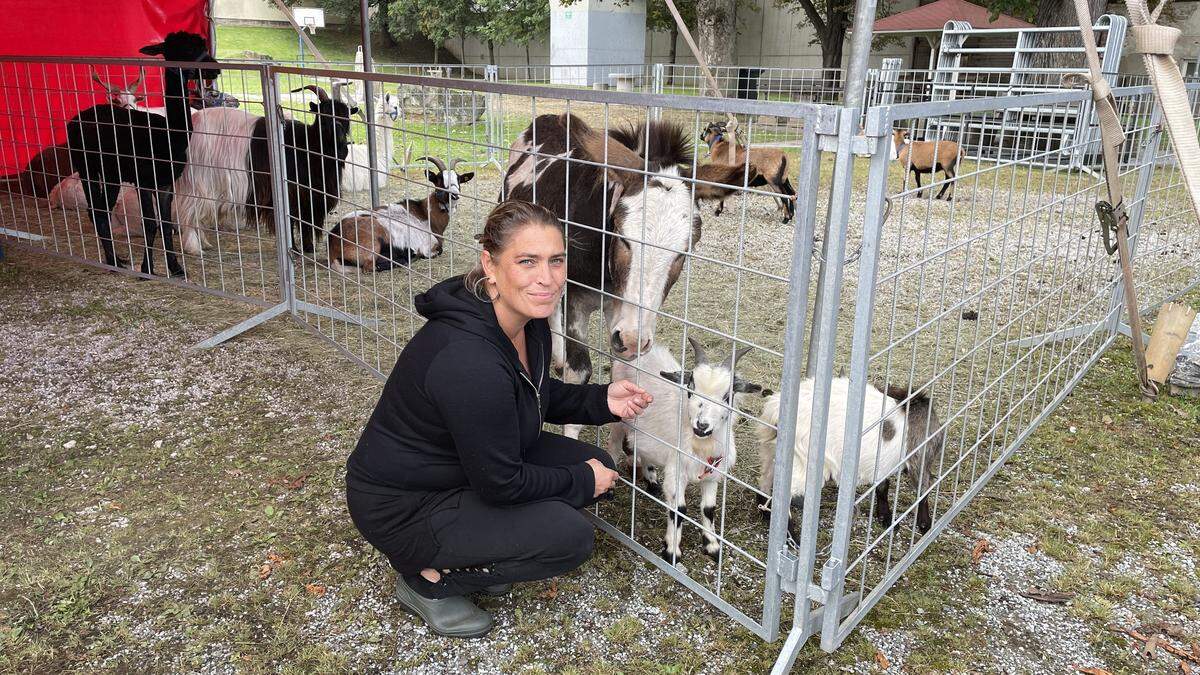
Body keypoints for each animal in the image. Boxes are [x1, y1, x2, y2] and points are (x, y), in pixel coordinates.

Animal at [246, 84, 352, 252]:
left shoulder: (312, 196)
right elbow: (293, 219)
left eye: (346, 117)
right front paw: (295, 248)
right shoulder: (292, 192)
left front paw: (308, 246)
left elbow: (307, 220)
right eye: (323, 114)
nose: (339, 136)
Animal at [333, 154, 477, 270]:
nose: (455, 195)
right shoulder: (428, 245)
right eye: (439, 179)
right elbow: (437, 251)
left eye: (458, 179)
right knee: (370, 267)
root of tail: (333, 242)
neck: (425, 214)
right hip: (372, 244)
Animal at [609, 336, 758, 562]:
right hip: (619, 420)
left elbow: (709, 509)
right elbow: (678, 510)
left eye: (727, 396)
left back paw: (651, 479)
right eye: (690, 388)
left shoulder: (712, 475)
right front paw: (671, 550)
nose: (702, 425)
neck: (699, 445)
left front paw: (712, 545)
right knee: (613, 447)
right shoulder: (676, 472)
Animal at [753, 374, 940, 538]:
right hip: (804, 463)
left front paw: (885, 517)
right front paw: (925, 525)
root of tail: (774, 412)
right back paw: (791, 536)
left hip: (770, 451)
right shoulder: (918, 457)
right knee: (783, 492)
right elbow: (923, 489)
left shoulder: (881, 463)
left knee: (765, 480)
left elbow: (883, 486)